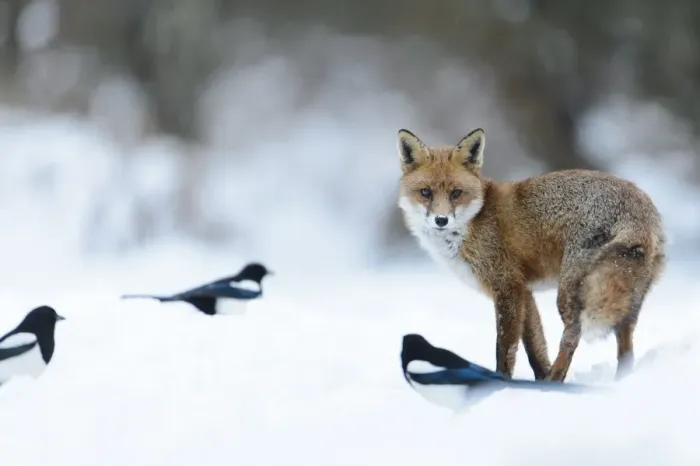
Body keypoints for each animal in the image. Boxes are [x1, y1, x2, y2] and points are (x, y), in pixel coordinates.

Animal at [396, 127, 666, 382]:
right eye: (426, 193)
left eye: (456, 193)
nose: (441, 220)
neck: (472, 223)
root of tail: (639, 206)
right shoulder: (525, 292)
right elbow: (535, 348)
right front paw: (540, 382)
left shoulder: (507, 287)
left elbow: (505, 348)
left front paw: (503, 383)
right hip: (626, 297)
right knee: (626, 347)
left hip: (569, 292)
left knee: (572, 334)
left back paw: (557, 378)